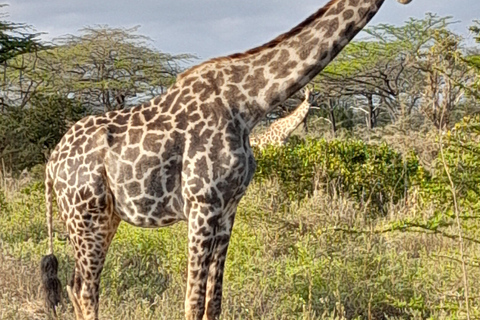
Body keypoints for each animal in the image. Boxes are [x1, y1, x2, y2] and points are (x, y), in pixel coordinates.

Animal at [40, 1, 412, 318]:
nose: (407, 2)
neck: (249, 104)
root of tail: (52, 162)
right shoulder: (202, 204)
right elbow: (192, 304)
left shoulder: (230, 205)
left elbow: (213, 303)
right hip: (86, 216)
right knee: (86, 288)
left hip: (106, 216)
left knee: (76, 285)